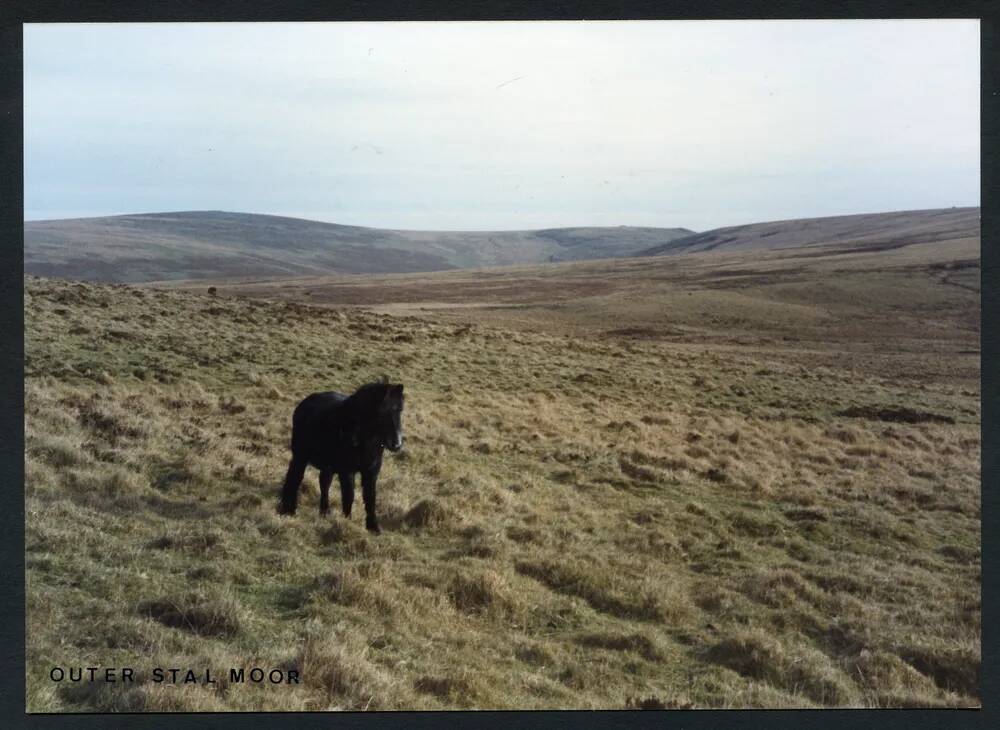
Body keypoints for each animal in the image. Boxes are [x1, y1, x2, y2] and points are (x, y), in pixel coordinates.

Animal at [276, 382, 404, 528]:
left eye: (400, 410)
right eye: (382, 412)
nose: (397, 444)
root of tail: (304, 404)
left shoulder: (371, 471)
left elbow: (370, 497)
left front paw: (373, 526)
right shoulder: (347, 471)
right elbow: (349, 495)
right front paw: (346, 521)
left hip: (327, 466)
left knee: (324, 483)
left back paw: (324, 512)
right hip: (300, 457)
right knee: (295, 478)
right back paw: (289, 510)